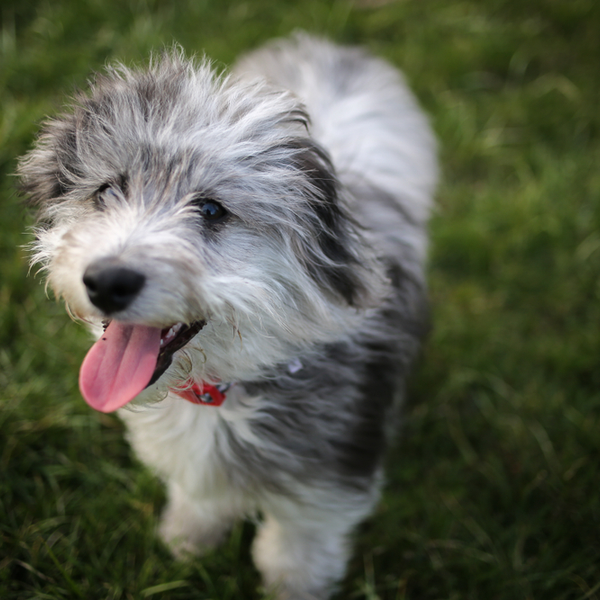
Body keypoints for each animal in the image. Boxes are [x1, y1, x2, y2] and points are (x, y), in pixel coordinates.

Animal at [17, 34, 436, 600]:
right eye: (106, 191)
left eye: (213, 210)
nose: (106, 282)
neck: (224, 389)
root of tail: (330, 45)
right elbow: (201, 501)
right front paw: (187, 545)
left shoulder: (327, 485)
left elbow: (297, 550)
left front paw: (293, 587)